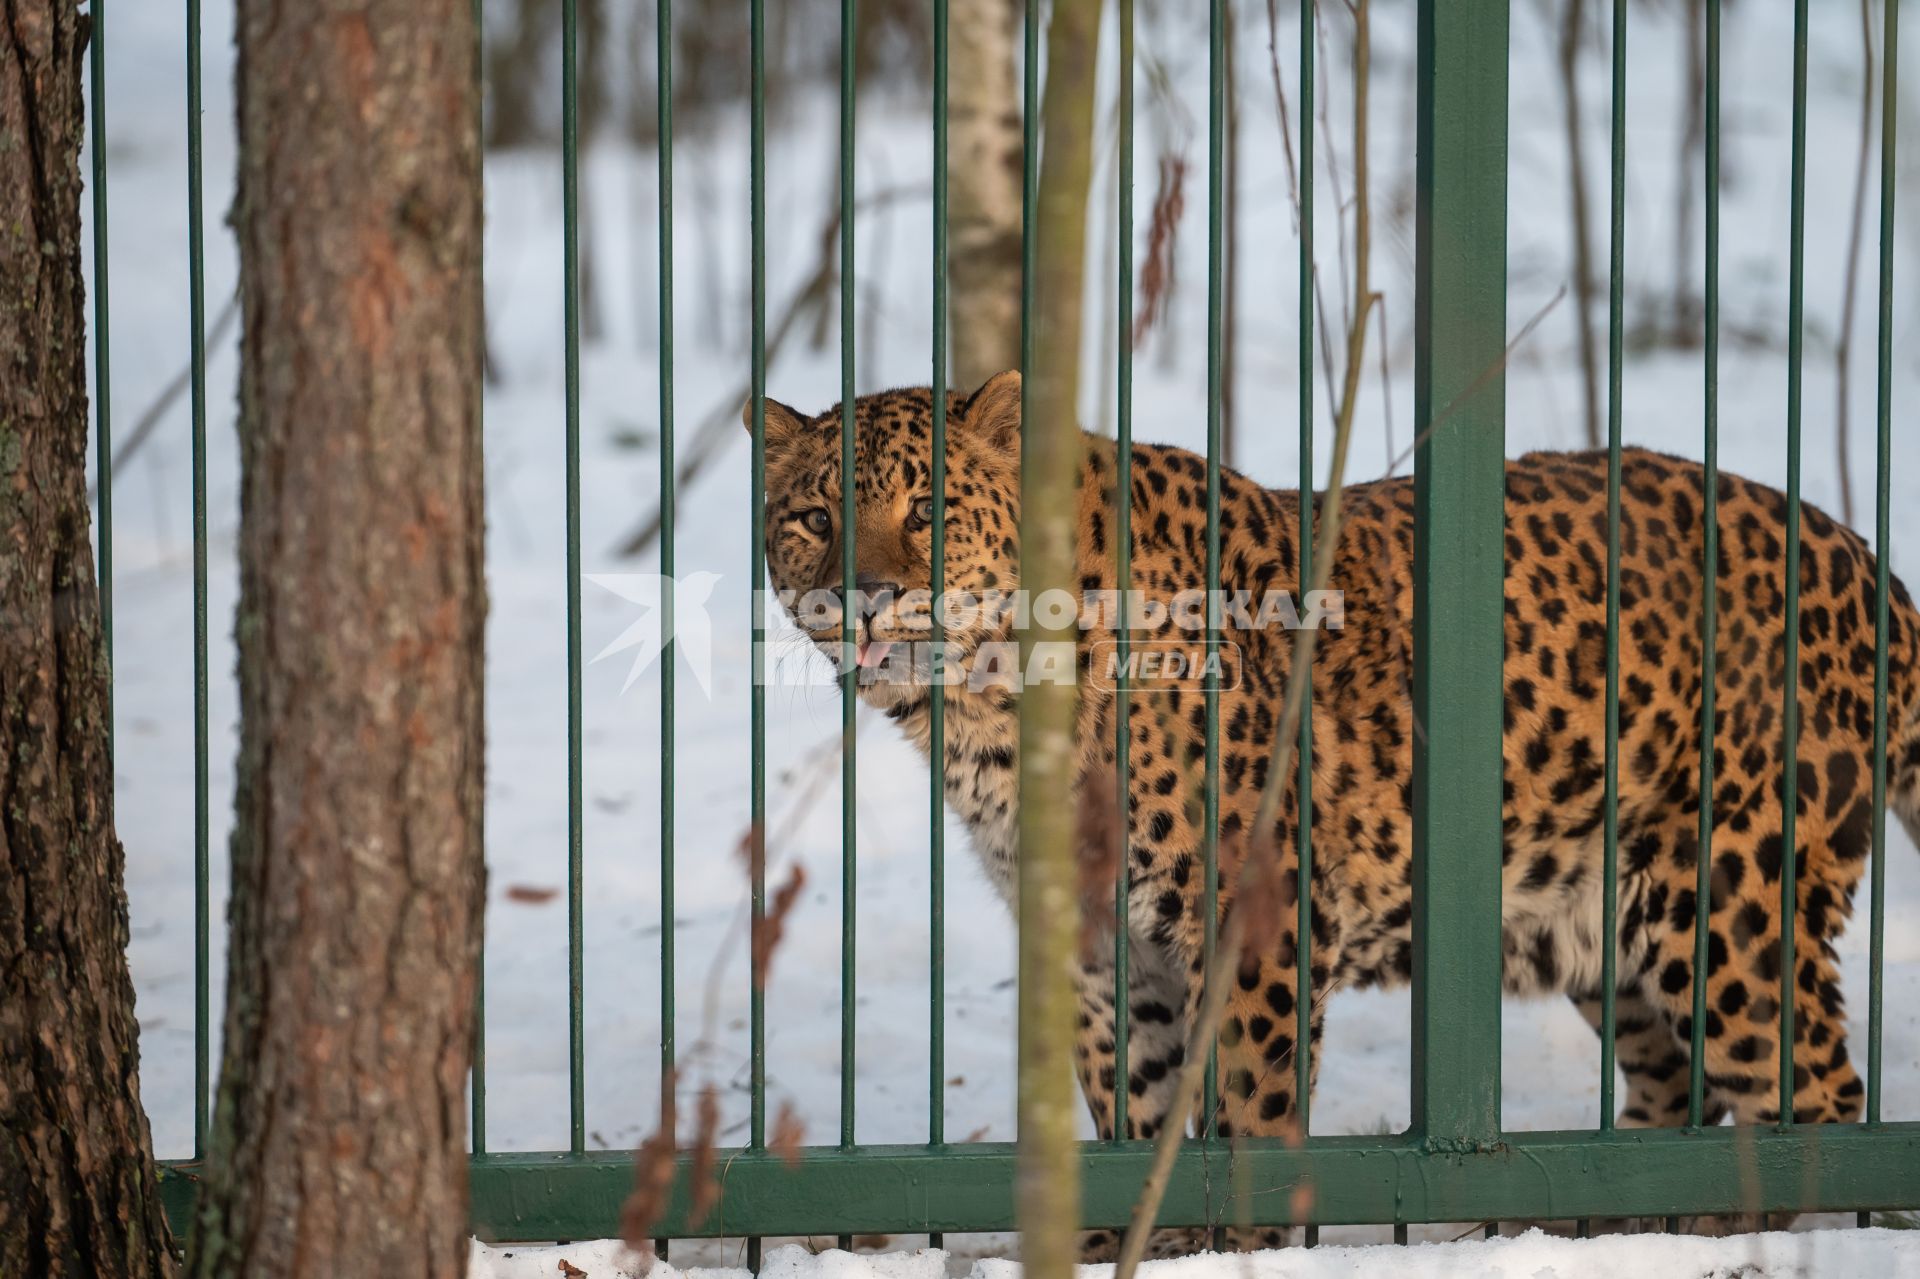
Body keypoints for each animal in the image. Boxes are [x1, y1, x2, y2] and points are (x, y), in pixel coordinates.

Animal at [744, 368, 1920, 1244]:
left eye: (928, 509)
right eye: (813, 516)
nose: (865, 596)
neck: (986, 716)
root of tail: (1865, 558)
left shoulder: (1257, 914)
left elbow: (1246, 1118)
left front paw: (1244, 1247)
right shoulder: (1101, 945)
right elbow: (1140, 1112)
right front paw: (1144, 1242)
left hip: (1726, 909)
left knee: (1817, 1095)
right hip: (1604, 925)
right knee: (1681, 1096)